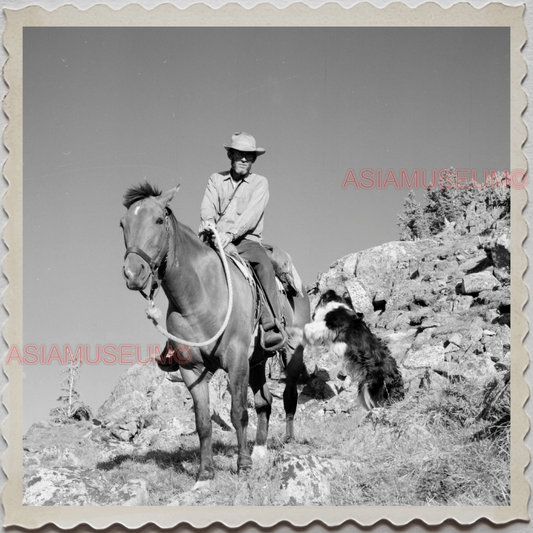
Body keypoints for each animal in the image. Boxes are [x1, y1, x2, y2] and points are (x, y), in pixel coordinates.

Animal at [119, 182, 312, 482]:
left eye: (159, 220)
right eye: (123, 224)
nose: (132, 273)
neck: (199, 295)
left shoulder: (235, 359)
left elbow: (238, 413)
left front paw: (243, 465)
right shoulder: (192, 369)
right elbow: (203, 422)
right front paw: (205, 471)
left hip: (291, 353)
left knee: (289, 395)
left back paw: (287, 442)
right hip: (256, 362)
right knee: (264, 401)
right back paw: (260, 449)